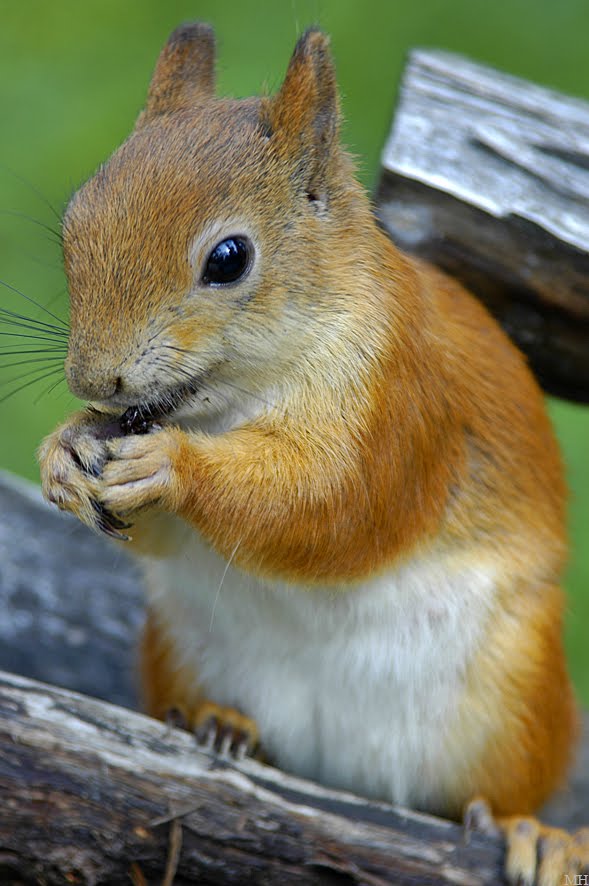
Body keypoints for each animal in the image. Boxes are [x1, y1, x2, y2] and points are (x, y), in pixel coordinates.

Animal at [39, 24, 584, 884]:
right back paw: (222, 723)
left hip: (513, 692)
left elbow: (331, 507)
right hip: (179, 645)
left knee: (502, 793)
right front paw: (63, 453)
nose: (96, 379)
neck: (236, 403)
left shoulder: (401, 408)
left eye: (228, 258)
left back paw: (540, 836)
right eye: (74, 224)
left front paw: (173, 468)